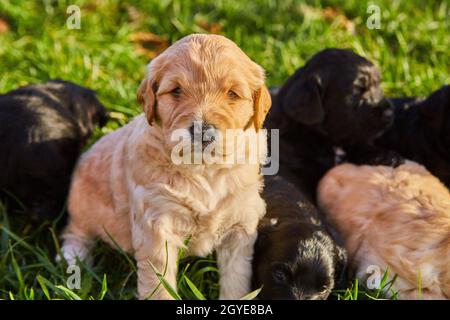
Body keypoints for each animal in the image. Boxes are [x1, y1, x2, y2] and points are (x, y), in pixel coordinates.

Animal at [59, 33, 270, 298]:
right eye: (176, 90)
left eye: (232, 94)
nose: (203, 131)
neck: (203, 169)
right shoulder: (157, 226)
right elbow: (159, 286)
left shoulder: (240, 224)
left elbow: (236, 280)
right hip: (81, 203)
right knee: (75, 231)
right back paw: (73, 260)